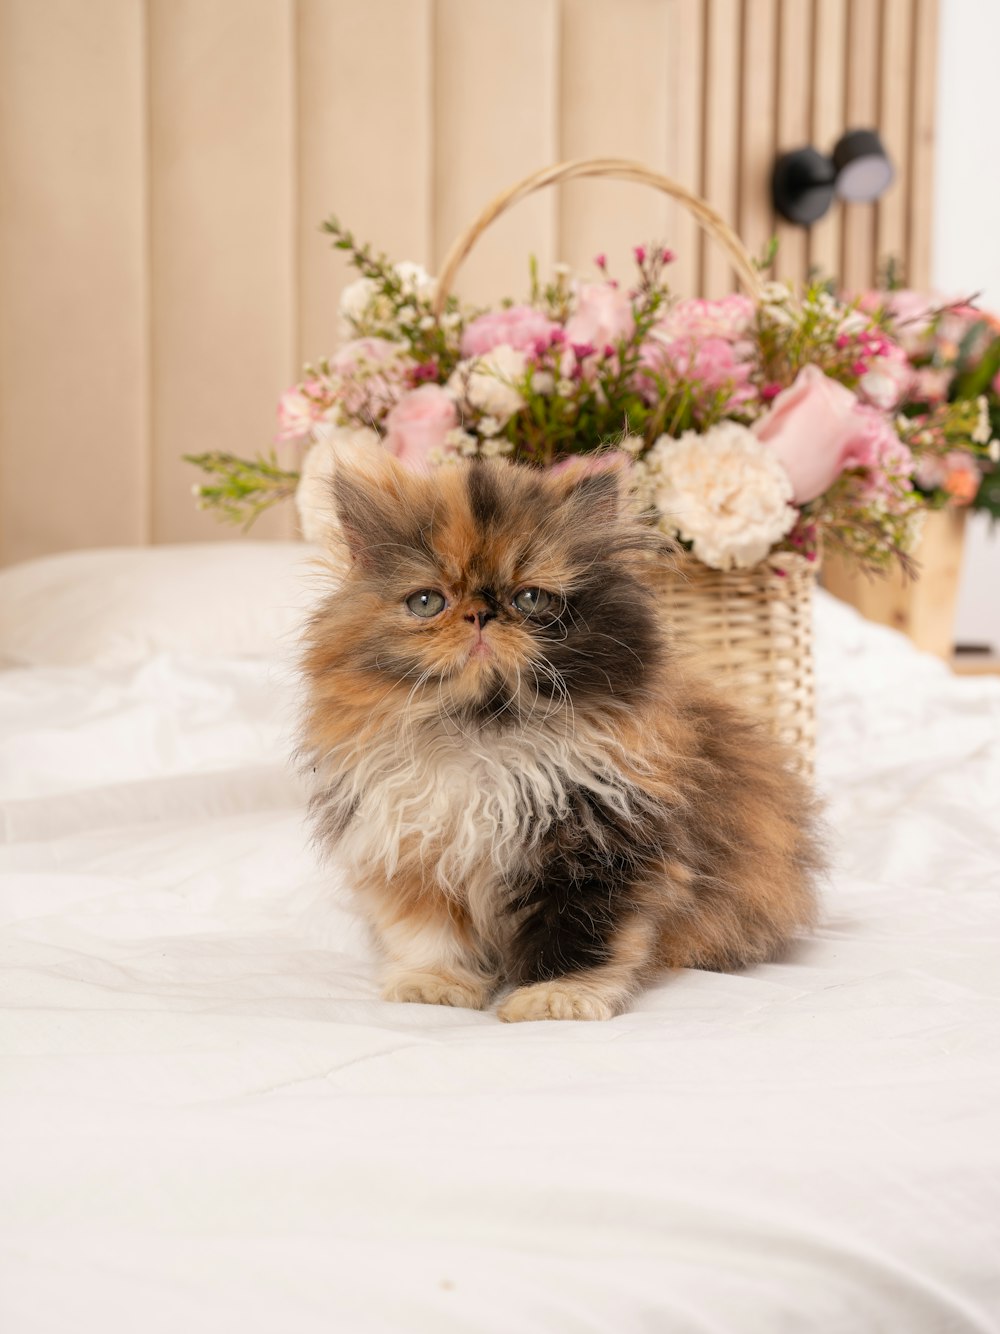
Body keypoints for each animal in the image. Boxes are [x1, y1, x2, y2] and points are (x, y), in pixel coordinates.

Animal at [301, 448, 826, 1019]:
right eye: (426, 602)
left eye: (531, 599)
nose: (480, 613)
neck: (486, 738)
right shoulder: (414, 850)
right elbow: (430, 935)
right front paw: (436, 985)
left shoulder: (602, 849)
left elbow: (578, 934)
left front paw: (555, 997)